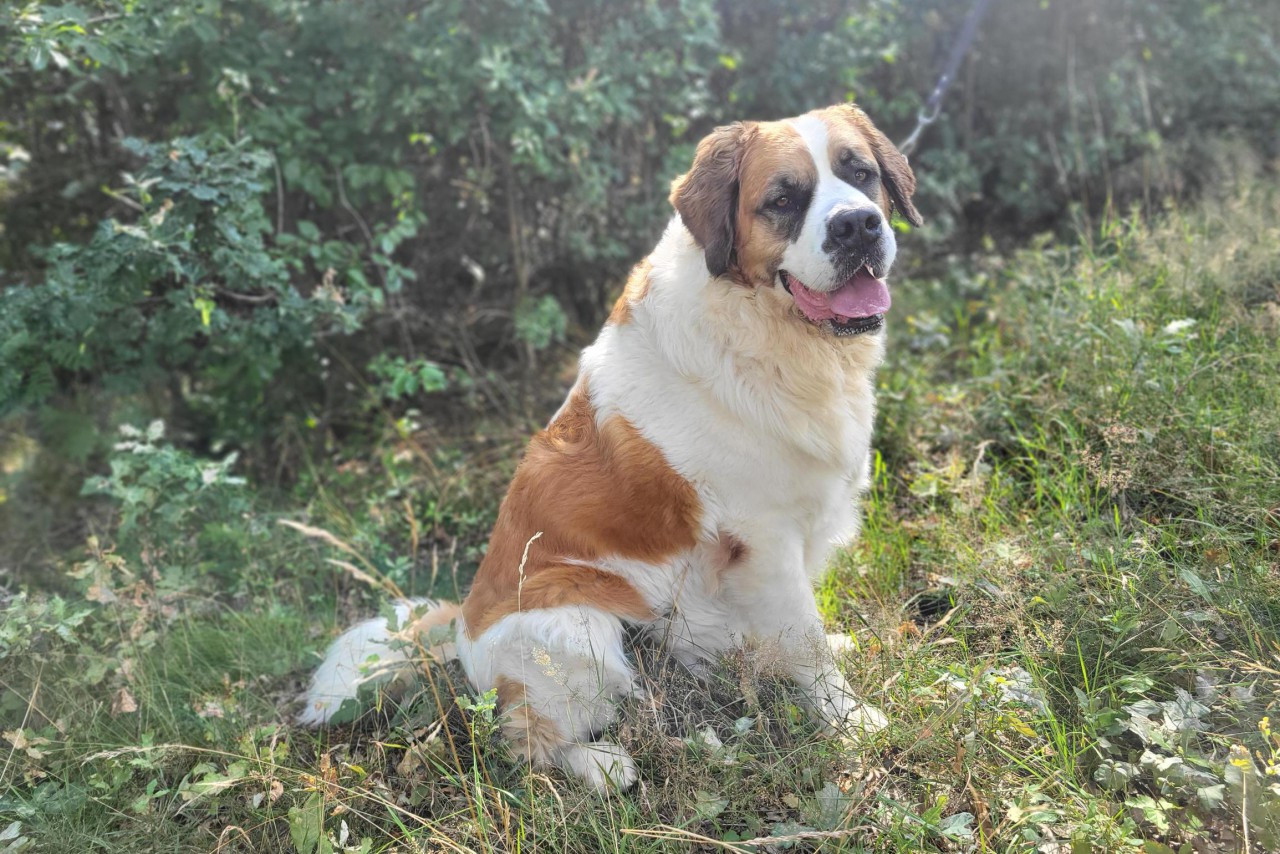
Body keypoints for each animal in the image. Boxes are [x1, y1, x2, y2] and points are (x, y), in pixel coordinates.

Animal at [299, 103, 921, 793]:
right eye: (783, 199)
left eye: (859, 174)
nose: (857, 226)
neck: (767, 329)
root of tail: (463, 622)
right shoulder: (765, 539)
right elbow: (803, 638)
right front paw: (848, 720)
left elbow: (797, 632)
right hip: (580, 629)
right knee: (525, 741)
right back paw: (601, 767)